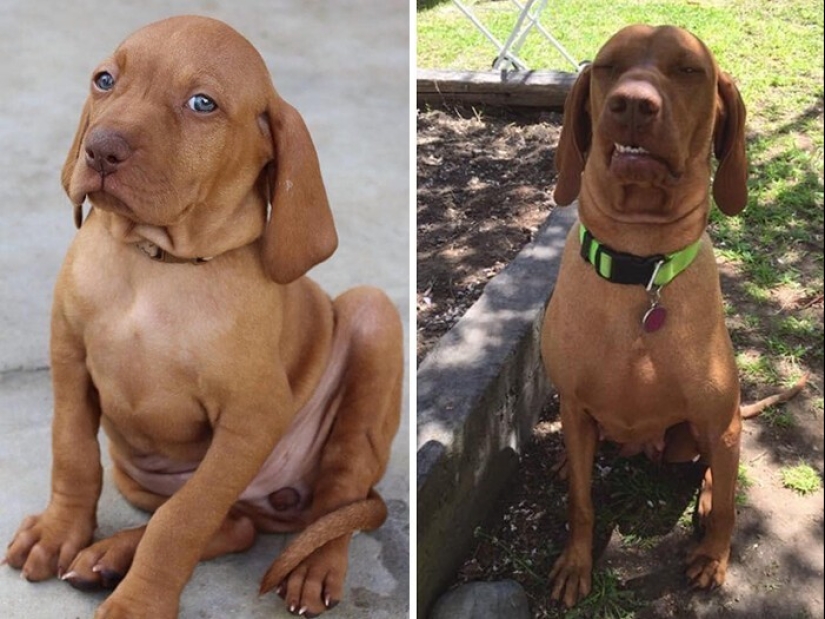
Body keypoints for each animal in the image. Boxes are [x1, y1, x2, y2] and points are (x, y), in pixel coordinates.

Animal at [3, 14, 402, 619]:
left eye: (202, 103)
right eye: (104, 80)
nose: (99, 150)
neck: (157, 262)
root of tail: (274, 499)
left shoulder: (252, 418)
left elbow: (181, 521)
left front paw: (138, 604)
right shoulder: (68, 357)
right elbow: (72, 454)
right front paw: (58, 532)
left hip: (373, 314)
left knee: (337, 493)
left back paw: (313, 566)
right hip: (137, 472)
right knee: (235, 526)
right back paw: (108, 556)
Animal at [540, 25, 804, 612]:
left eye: (688, 70)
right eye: (610, 66)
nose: (633, 104)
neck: (641, 268)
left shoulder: (716, 418)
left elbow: (727, 502)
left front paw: (713, 557)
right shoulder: (574, 404)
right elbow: (580, 504)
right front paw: (575, 563)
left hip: (703, 431)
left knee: (714, 468)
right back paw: (569, 462)